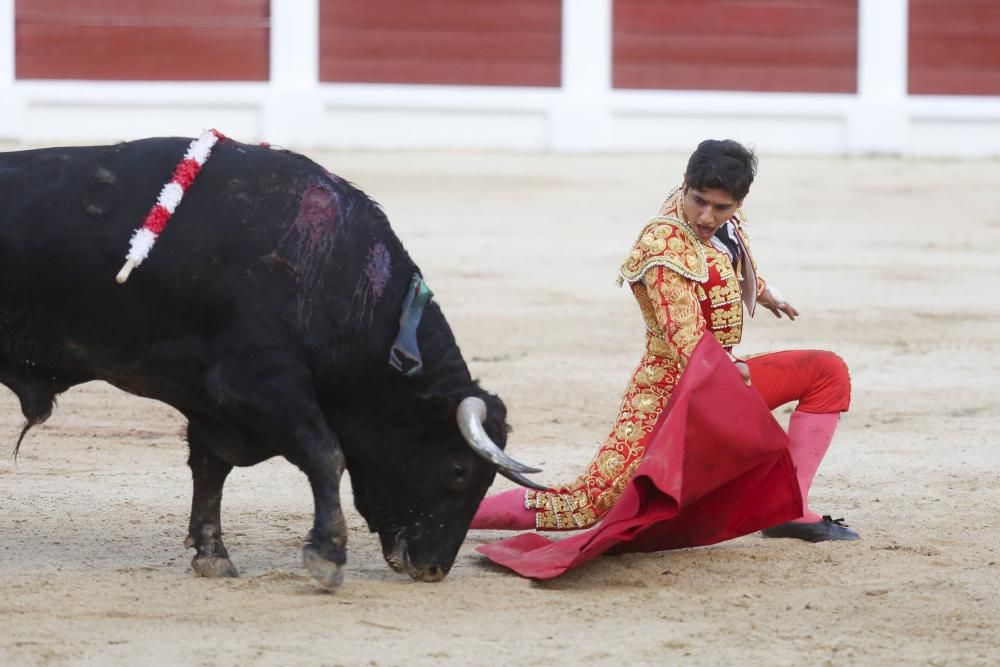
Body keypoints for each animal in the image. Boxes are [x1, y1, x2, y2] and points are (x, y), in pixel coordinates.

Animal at [0, 137, 540, 588]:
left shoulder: (214, 405)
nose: (433, 569)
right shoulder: (256, 382)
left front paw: (212, 555)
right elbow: (325, 453)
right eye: (459, 471)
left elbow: (211, 469)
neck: (335, 275)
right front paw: (327, 555)